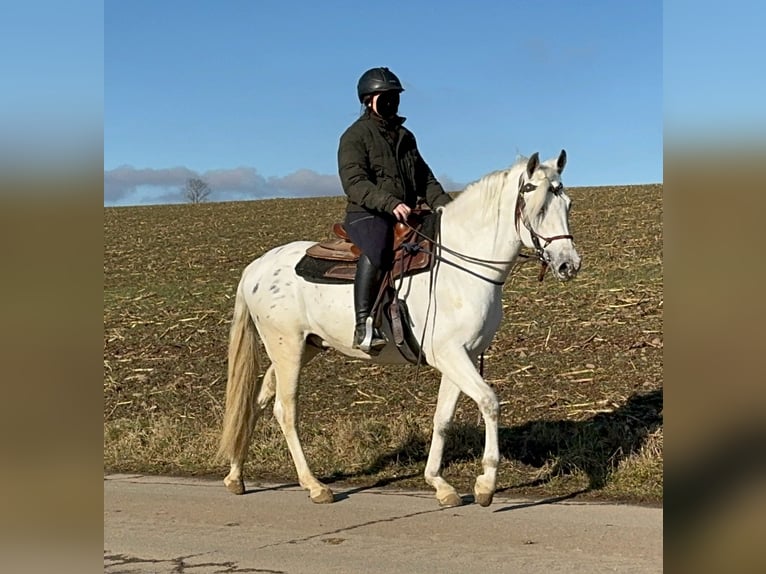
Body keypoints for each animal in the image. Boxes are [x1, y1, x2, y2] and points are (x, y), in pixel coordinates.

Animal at [216, 152, 584, 508]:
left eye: (566, 204)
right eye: (538, 208)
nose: (569, 265)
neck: (460, 267)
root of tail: (256, 267)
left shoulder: (460, 357)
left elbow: (442, 418)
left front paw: (439, 484)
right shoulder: (450, 356)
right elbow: (489, 402)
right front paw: (486, 484)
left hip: (303, 347)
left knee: (257, 400)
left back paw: (236, 476)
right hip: (287, 348)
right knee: (285, 410)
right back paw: (314, 485)